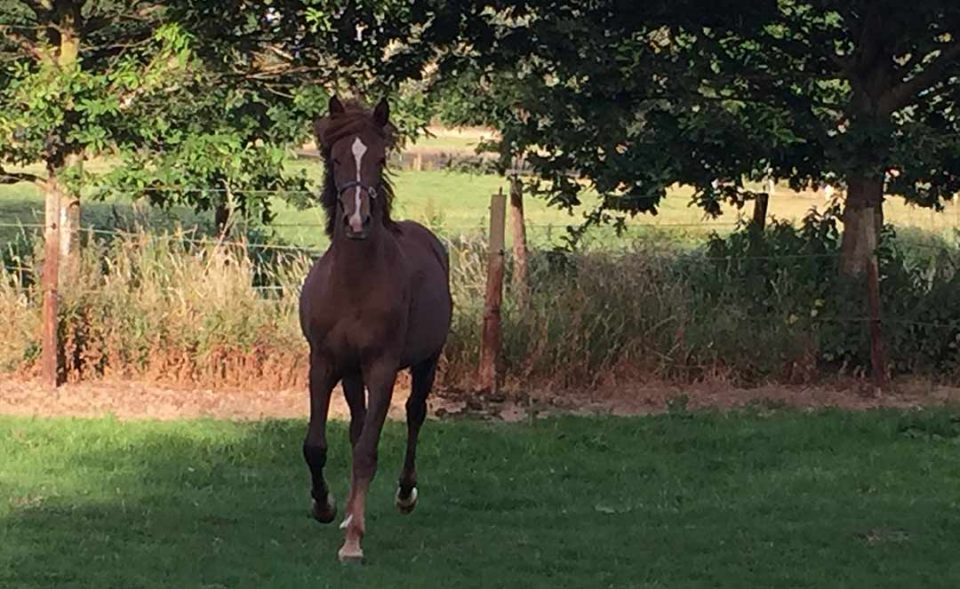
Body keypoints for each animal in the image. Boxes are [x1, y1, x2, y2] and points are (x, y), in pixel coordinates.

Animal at [298, 95, 452, 560]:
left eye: (380, 158)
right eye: (335, 158)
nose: (357, 222)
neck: (353, 285)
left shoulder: (382, 368)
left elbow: (368, 451)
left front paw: (353, 542)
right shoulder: (324, 364)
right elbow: (317, 446)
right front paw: (326, 507)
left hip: (425, 362)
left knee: (415, 414)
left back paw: (403, 495)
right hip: (352, 373)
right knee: (355, 427)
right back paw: (349, 512)